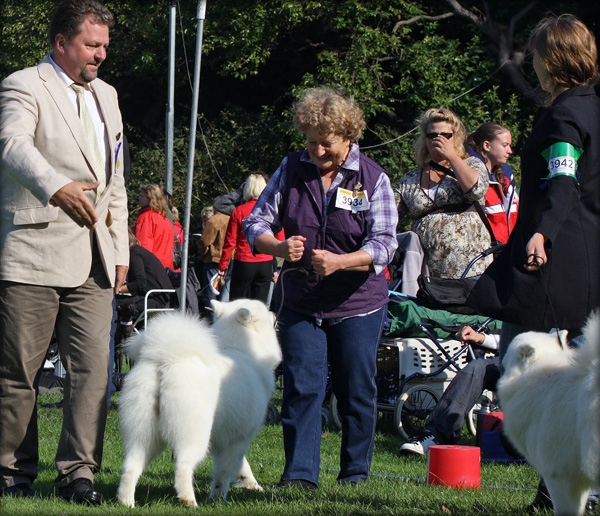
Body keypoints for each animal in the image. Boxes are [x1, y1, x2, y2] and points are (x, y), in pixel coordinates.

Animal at [116, 298, 282, 508]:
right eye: (265, 311)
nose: (275, 312)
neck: (242, 350)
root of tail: (166, 362)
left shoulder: (226, 437)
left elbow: (240, 464)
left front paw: (248, 483)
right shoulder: (240, 437)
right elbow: (225, 470)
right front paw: (219, 497)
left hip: (142, 433)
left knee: (131, 466)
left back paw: (126, 502)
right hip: (194, 435)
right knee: (183, 466)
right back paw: (189, 501)